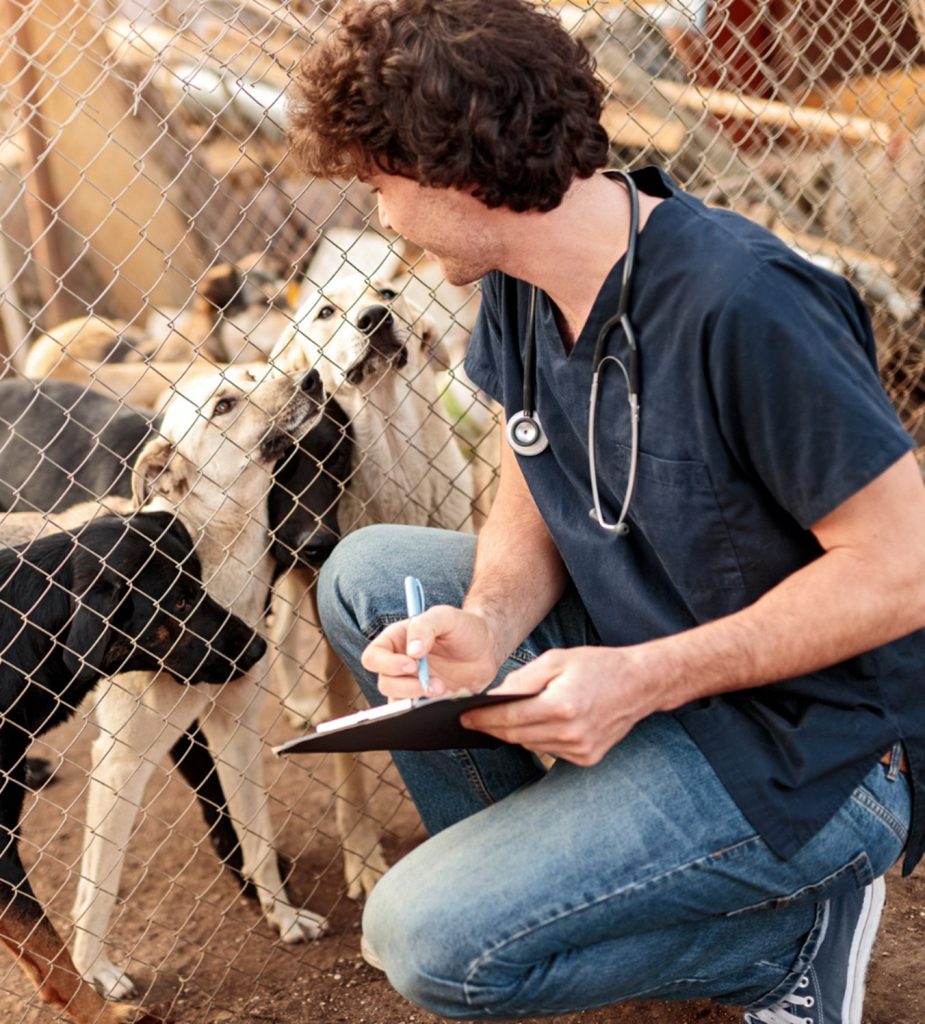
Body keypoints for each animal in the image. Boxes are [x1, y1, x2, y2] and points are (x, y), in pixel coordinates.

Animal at [0, 512, 264, 1024]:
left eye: (199, 584)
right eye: (178, 602)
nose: (260, 646)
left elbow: (41, 949)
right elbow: (50, 946)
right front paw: (103, 1013)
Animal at [66, 362, 325, 999]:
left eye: (256, 371)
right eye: (223, 405)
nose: (310, 376)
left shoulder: (235, 730)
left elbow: (257, 838)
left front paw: (284, 917)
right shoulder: (120, 762)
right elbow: (100, 883)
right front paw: (96, 970)